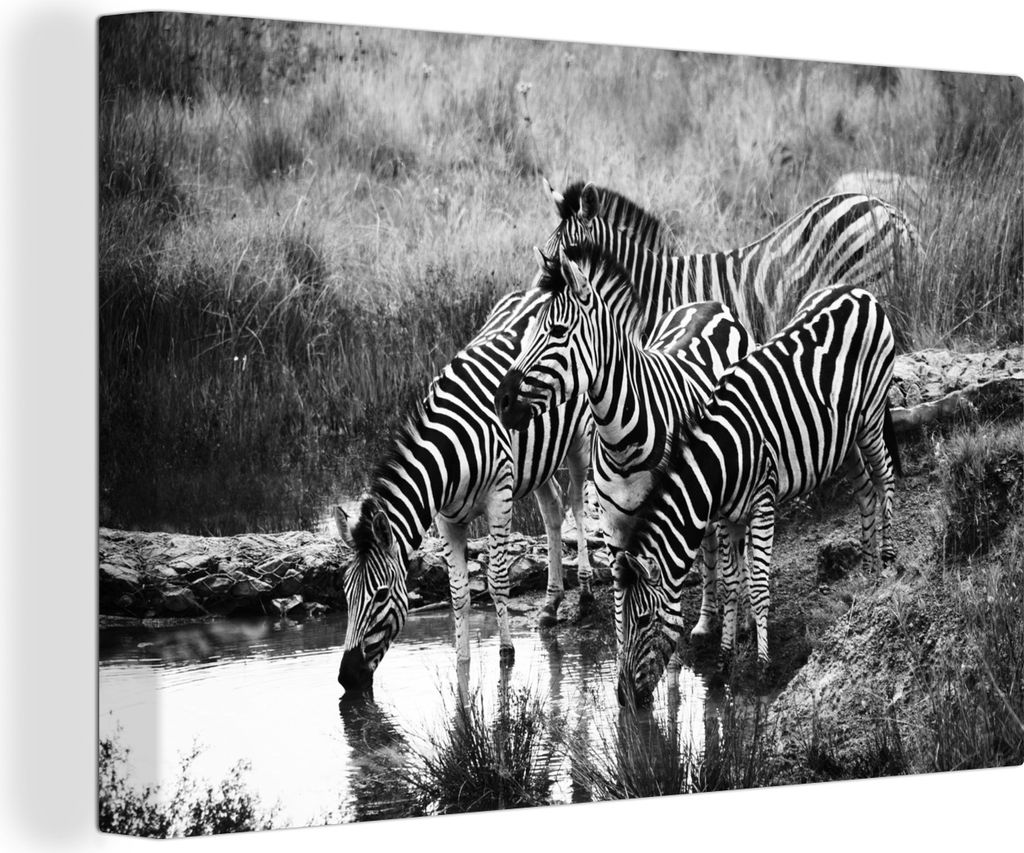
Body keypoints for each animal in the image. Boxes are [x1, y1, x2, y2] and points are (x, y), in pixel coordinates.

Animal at [335, 287, 594, 692]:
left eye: (379, 595)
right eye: (345, 593)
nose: (347, 678)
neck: (450, 456)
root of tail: (539, 289)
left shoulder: (500, 497)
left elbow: (498, 579)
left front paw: (506, 653)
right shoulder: (445, 519)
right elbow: (458, 594)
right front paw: (462, 662)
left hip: (579, 439)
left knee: (579, 504)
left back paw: (584, 590)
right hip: (537, 459)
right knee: (553, 510)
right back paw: (551, 604)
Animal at [495, 243, 752, 643]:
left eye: (557, 331)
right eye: (533, 328)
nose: (502, 401)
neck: (623, 442)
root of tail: (708, 302)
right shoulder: (614, 531)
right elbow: (622, 614)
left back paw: (740, 619)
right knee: (710, 541)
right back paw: (706, 620)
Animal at [613, 283, 901, 708]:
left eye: (644, 620)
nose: (622, 698)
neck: (720, 461)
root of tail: (858, 290)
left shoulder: (763, 503)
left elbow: (760, 584)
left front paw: (762, 666)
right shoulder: (728, 516)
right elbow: (731, 584)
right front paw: (726, 659)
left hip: (871, 414)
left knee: (885, 479)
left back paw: (889, 561)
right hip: (844, 437)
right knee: (865, 490)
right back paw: (866, 572)